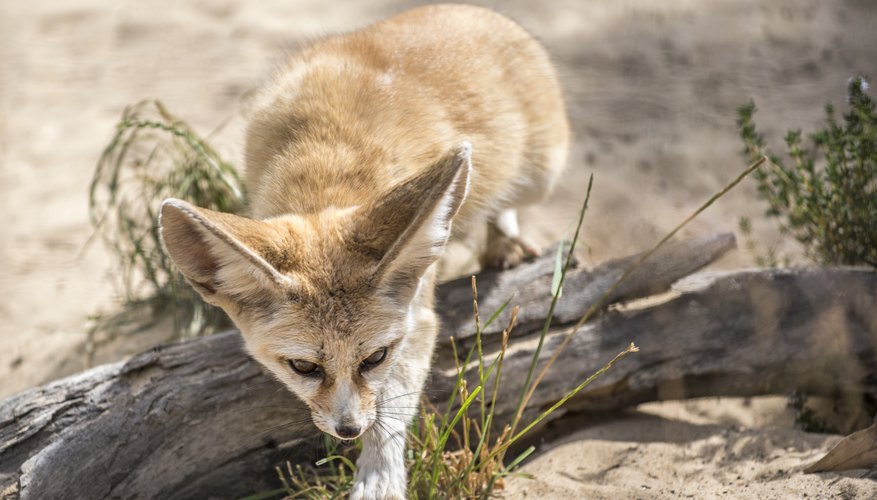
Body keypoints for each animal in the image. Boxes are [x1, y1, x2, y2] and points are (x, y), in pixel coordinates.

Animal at [159, 2, 568, 496]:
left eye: (374, 358)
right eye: (303, 367)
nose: (348, 430)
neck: (328, 165)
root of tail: (467, 9)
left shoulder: (417, 321)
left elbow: (391, 410)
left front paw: (379, 474)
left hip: (543, 176)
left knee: (509, 203)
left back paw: (503, 238)